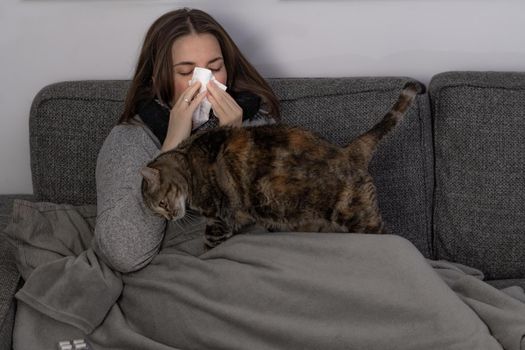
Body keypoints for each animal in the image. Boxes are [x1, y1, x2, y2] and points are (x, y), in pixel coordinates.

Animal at [141, 82, 424, 249]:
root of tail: (349, 150)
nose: (169, 217)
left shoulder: (217, 218)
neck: (188, 160)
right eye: (158, 211)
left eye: (162, 203)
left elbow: (209, 246)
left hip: (359, 218)